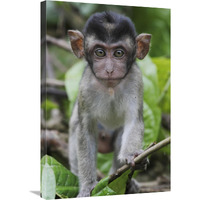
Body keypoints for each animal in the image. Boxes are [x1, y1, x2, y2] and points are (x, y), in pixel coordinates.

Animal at [67, 11, 150, 197]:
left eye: (119, 53)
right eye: (100, 52)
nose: (110, 69)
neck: (110, 87)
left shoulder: (135, 80)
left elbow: (133, 121)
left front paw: (131, 156)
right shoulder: (85, 85)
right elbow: (85, 131)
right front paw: (87, 187)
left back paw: (123, 182)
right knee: (76, 127)